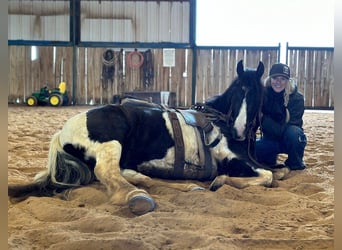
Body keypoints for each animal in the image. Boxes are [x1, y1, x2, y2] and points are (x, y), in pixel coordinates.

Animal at [7, 60, 286, 215]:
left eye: (257, 93)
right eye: (238, 93)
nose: (238, 129)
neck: (218, 123)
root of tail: (61, 132)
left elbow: (277, 171)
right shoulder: (232, 159)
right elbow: (267, 176)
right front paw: (221, 181)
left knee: (134, 175)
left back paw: (187, 187)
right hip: (111, 144)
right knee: (109, 174)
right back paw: (137, 197)